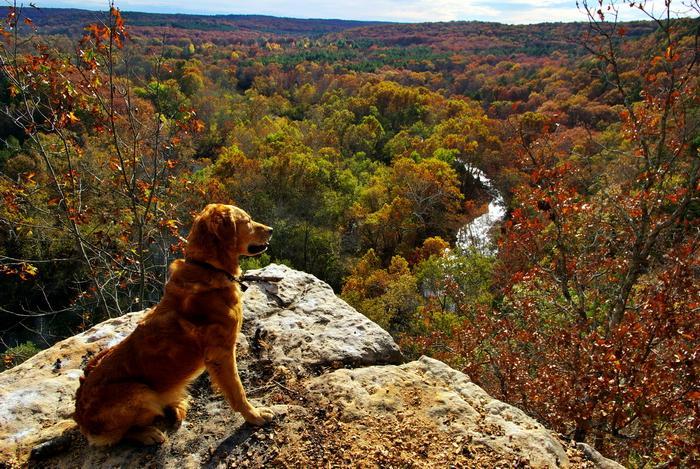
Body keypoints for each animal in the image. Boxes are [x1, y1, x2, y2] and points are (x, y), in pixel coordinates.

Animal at [74, 203, 274, 444]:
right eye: (247, 220)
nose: (271, 230)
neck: (207, 267)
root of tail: (79, 416)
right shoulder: (221, 353)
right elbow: (237, 391)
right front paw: (254, 415)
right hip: (140, 391)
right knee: (119, 435)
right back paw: (149, 434)